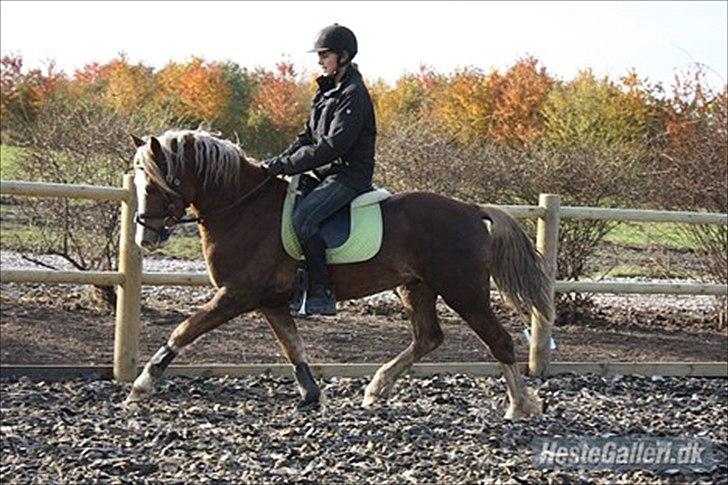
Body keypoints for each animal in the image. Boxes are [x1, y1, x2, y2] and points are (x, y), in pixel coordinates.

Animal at [125, 129, 548, 420]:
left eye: (159, 183)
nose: (145, 236)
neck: (243, 209)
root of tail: (470, 209)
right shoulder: (270, 302)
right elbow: (293, 347)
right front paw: (312, 395)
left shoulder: (235, 294)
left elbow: (184, 330)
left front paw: (142, 385)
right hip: (417, 289)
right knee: (428, 337)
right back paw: (377, 389)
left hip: (464, 291)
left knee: (499, 341)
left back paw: (518, 405)